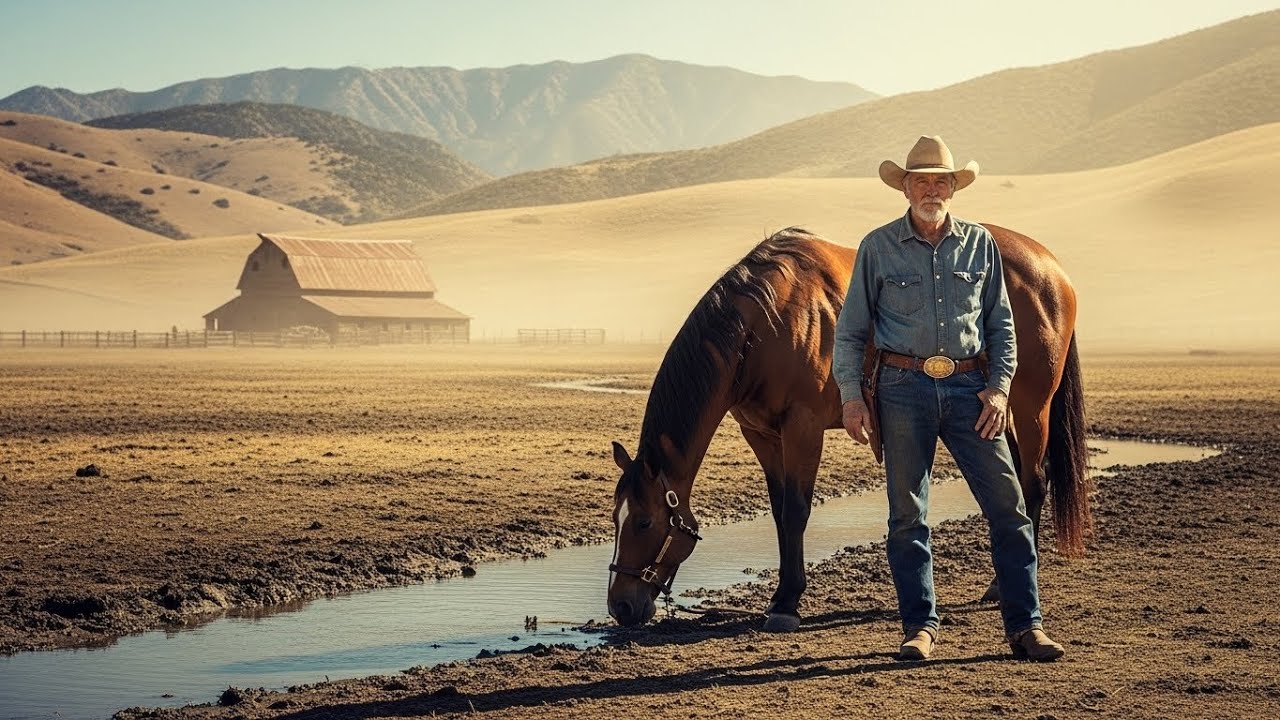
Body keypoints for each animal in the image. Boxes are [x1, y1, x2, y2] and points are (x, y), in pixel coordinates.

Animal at [607, 226, 1090, 631]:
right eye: (616, 517)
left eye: (645, 522)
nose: (621, 606)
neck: (763, 324)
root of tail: (1054, 272)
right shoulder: (761, 434)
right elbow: (780, 513)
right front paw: (782, 597)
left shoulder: (803, 428)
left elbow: (796, 511)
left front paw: (786, 604)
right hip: (994, 411)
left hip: (1031, 407)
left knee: (1034, 481)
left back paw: (1001, 586)